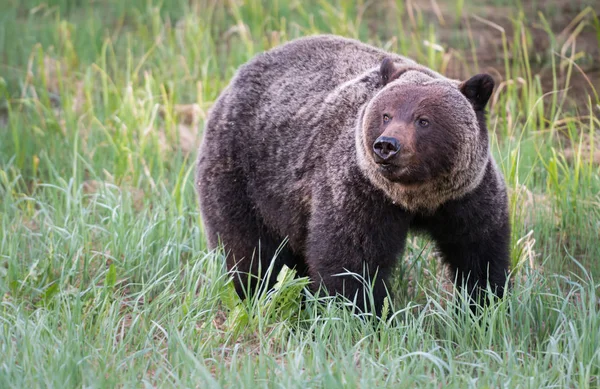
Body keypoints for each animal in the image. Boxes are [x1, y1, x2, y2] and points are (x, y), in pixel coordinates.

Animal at [197, 34, 510, 314]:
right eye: (386, 114)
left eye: (423, 120)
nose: (387, 145)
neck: (416, 197)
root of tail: (238, 76)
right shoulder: (360, 192)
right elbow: (350, 261)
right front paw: (363, 313)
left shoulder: (466, 197)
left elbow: (479, 253)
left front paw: (483, 305)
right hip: (243, 175)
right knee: (249, 251)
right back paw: (254, 294)